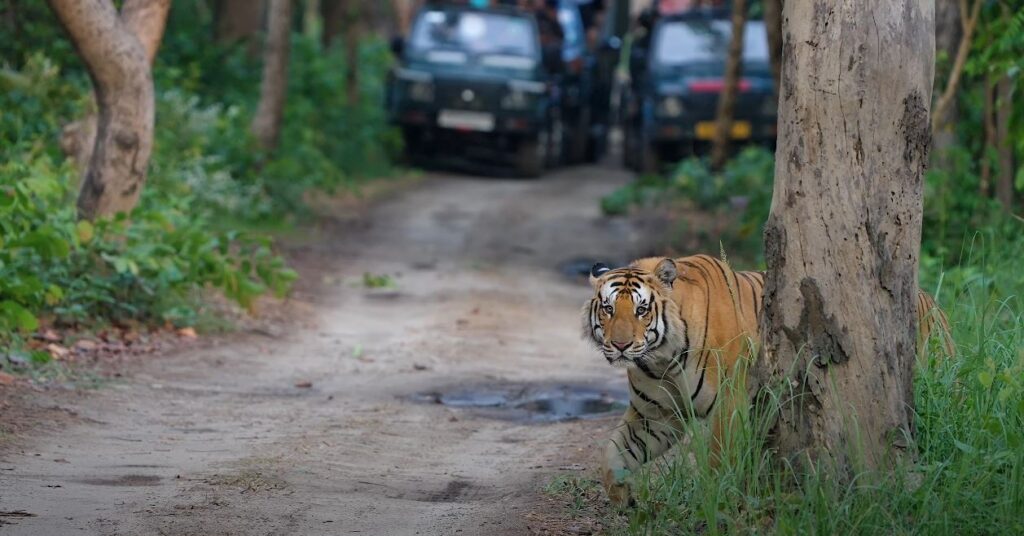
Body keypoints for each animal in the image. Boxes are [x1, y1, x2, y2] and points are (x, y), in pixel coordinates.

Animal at [585, 254, 958, 506]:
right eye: (608, 308)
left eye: (641, 310)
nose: (620, 345)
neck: (661, 358)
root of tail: (934, 303)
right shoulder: (655, 416)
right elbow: (612, 454)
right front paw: (622, 495)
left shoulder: (729, 404)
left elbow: (719, 459)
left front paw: (717, 501)